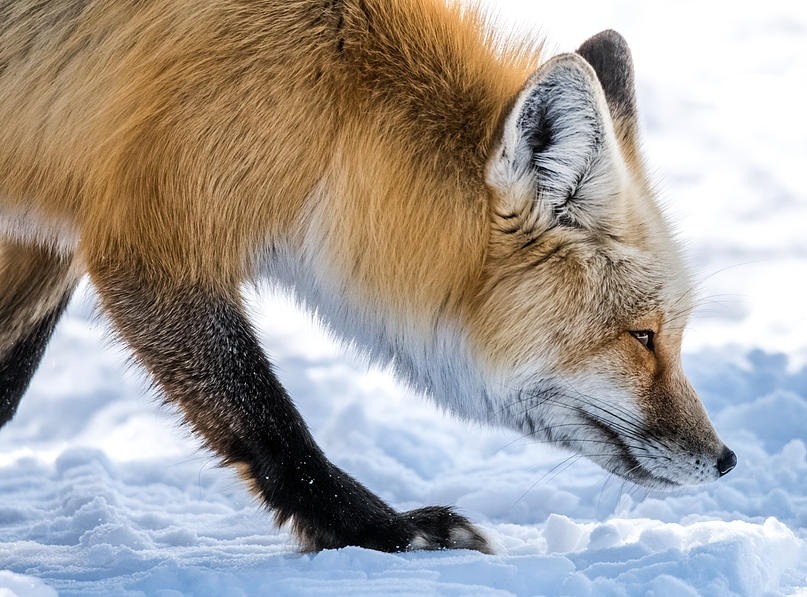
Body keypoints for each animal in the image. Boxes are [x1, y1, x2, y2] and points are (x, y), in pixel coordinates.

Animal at [0, 0, 736, 552]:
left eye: (671, 335)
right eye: (642, 336)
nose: (726, 458)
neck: (332, 96)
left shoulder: (56, 217)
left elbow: (7, 382)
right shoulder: (150, 244)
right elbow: (270, 419)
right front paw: (384, 531)